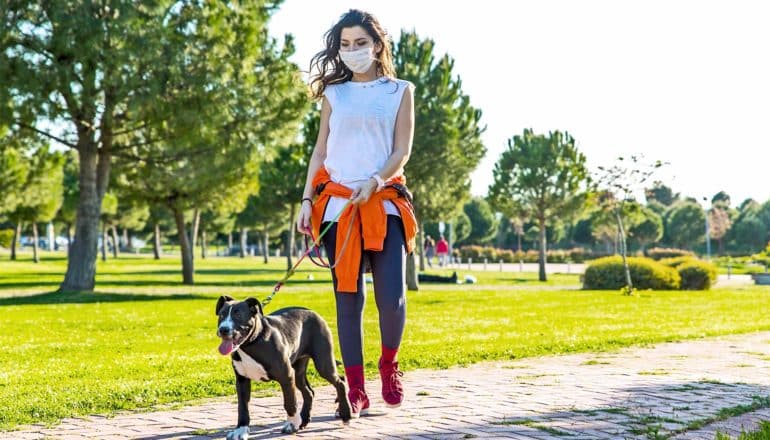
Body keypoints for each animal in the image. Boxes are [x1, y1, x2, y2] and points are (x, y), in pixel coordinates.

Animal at [213, 296, 352, 440]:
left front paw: (292, 424)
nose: (223, 329)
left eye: (238, 315)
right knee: (309, 392)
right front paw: (241, 430)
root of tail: (313, 312)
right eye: (222, 315)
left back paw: (345, 414)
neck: (251, 343)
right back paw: (304, 419)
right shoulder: (242, 380)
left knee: (340, 382)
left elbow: (290, 402)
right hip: (298, 371)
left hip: (322, 363)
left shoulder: (286, 375)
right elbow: (242, 408)